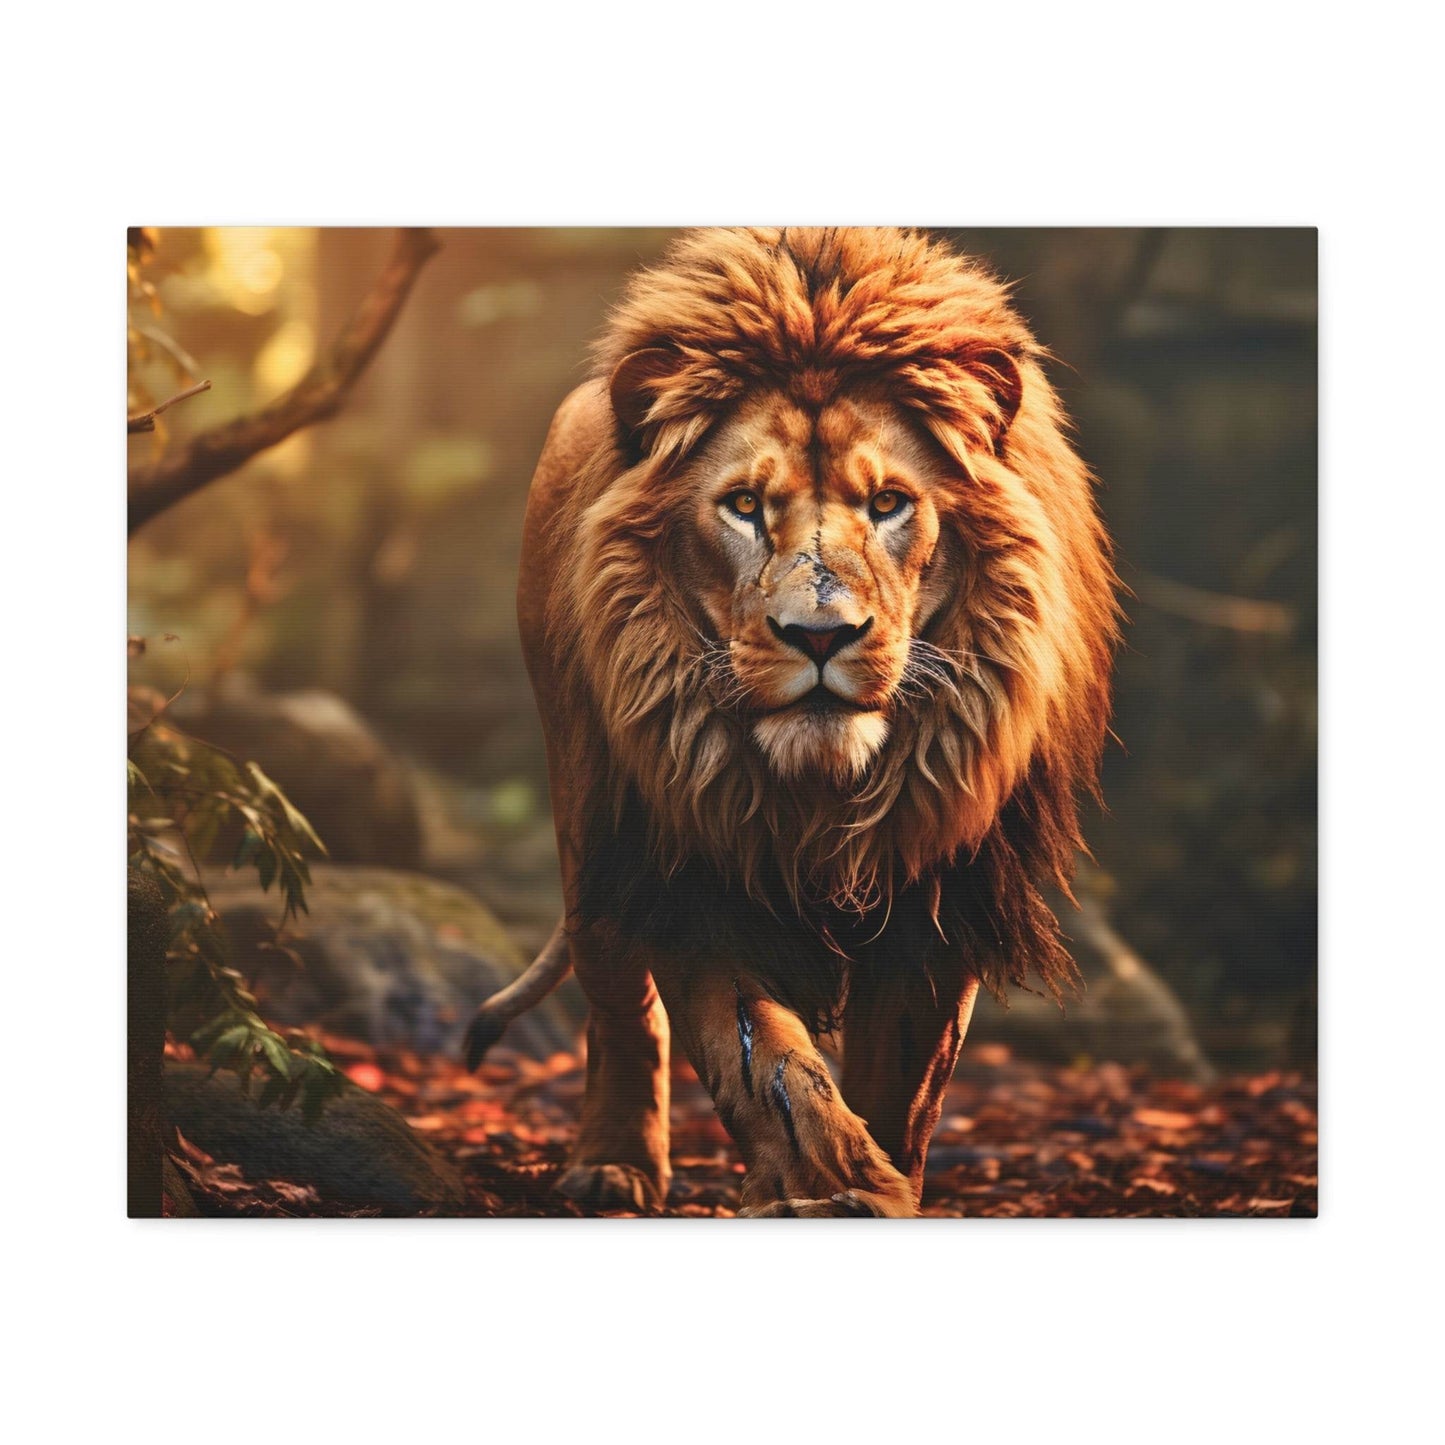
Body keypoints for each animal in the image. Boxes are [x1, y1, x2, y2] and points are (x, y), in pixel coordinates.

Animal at [464, 227, 1119, 1216]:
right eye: (743, 505)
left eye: (887, 503)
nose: (819, 634)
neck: (823, 791)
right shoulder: (692, 863)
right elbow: (762, 1061)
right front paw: (824, 1183)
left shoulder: (941, 885)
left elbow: (902, 1086)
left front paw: (880, 1187)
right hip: (589, 811)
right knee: (617, 998)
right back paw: (612, 1164)